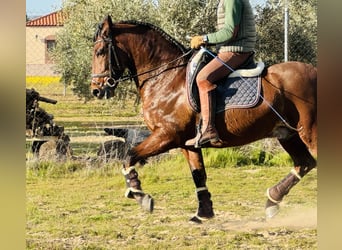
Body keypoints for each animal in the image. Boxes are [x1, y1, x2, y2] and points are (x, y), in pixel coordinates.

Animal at [89, 15, 316, 223]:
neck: (166, 78)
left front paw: (139, 195)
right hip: (287, 133)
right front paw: (203, 213)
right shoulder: (187, 144)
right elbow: (198, 175)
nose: (96, 90)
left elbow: (130, 155)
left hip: (309, 132)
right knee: (304, 164)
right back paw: (271, 201)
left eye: (100, 52)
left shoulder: (166, 136)